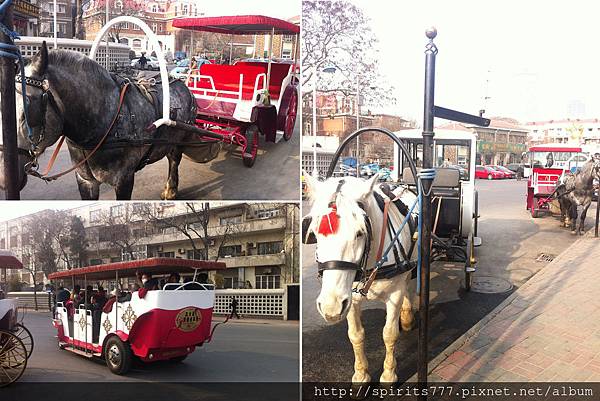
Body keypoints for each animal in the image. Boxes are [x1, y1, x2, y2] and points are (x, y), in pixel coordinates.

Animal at [1, 42, 200, 198]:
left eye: (28, 112)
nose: (4, 177)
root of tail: (182, 84)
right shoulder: (85, 180)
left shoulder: (124, 180)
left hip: (180, 138)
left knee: (174, 159)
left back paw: (171, 190)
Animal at [304, 173, 418, 382]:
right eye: (315, 233)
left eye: (359, 233)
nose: (330, 307)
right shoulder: (349, 298)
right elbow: (356, 335)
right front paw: (361, 374)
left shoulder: (395, 293)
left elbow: (389, 333)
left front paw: (389, 374)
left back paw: (406, 315)